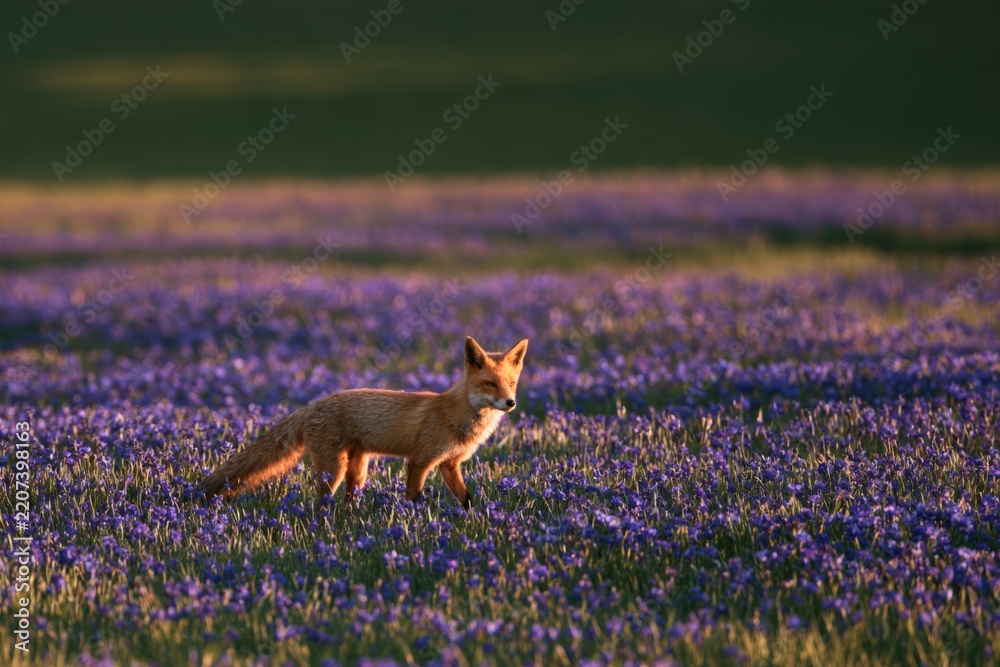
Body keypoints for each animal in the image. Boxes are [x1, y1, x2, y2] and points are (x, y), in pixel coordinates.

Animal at [195, 336, 528, 509]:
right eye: (489, 384)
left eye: (511, 384)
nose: (510, 403)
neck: (458, 415)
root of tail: (312, 404)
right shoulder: (420, 460)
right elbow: (413, 497)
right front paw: (413, 521)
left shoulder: (449, 464)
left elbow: (466, 498)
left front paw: (473, 519)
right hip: (334, 469)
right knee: (322, 500)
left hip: (359, 468)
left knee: (348, 500)